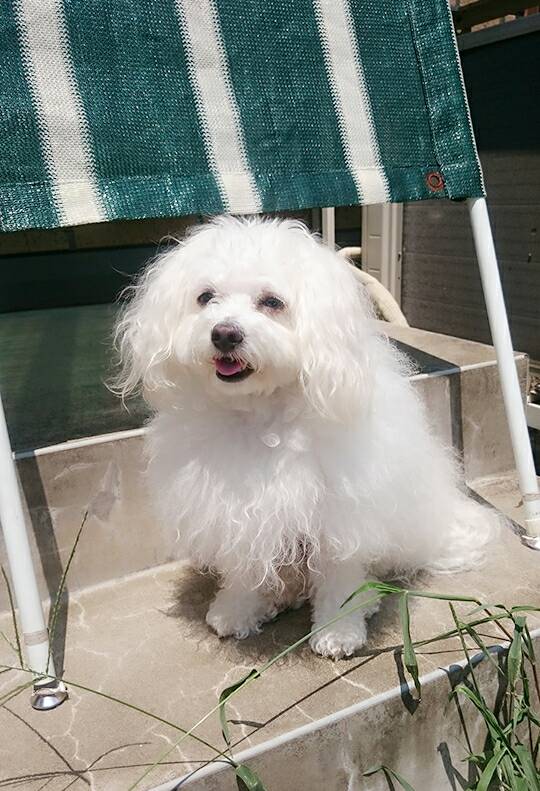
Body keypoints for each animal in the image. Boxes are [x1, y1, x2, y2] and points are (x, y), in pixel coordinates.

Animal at [114, 216, 496, 658]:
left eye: (272, 302)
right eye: (205, 297)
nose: (224, 334)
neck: (261, 416)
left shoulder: (340, 518)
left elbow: (341, 578)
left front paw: (338, 631)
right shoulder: (239, 515)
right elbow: (244, 569)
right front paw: (237, 610)